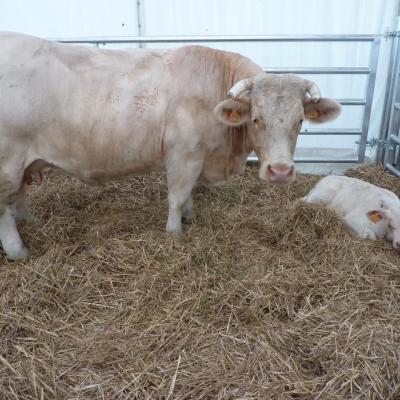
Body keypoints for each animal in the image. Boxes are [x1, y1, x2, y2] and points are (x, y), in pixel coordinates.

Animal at [0, 32, 340, 260]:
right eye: (256, 119)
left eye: (300, 121)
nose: (280, 172)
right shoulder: (184, 154)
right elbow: (177, 195)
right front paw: (175, 233)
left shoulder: (198, 156)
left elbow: (187, 194)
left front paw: (190, 217)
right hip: (6, 163)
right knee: (4, 207)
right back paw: (18, 250)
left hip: (21, 162)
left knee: (18, 196)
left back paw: (30, 222)